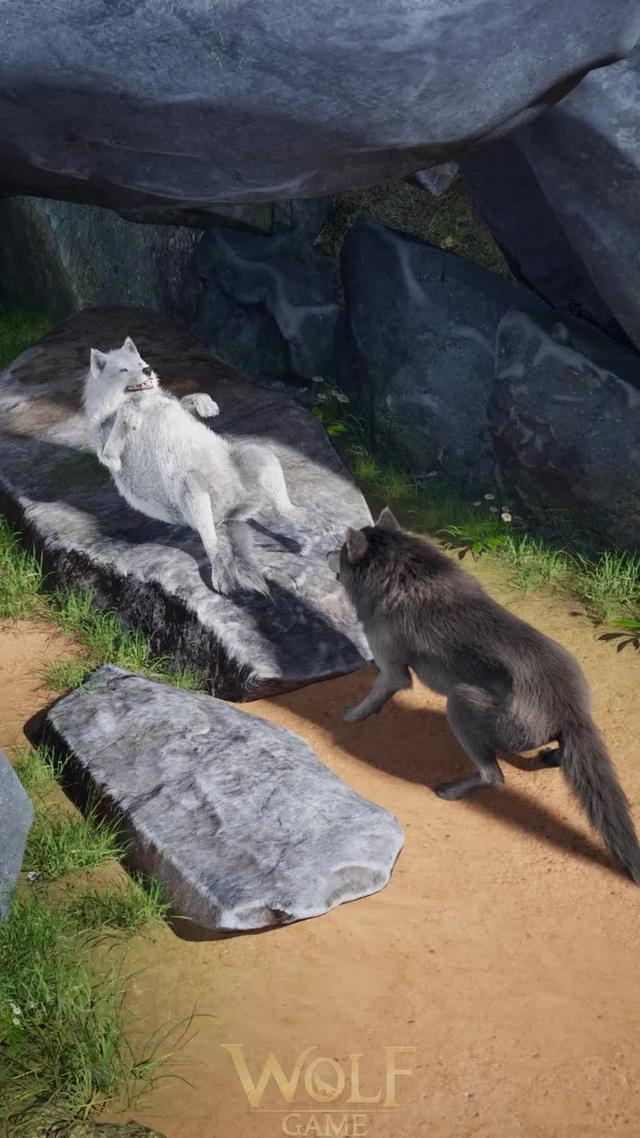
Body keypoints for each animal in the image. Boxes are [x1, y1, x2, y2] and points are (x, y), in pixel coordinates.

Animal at [84, 336, 294, 595]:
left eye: (140, 363)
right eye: (123, 370)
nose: (148, 370)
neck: (143, 403)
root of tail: (229, 516)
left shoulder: (173, 403)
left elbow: (187, 399)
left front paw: (207, 406)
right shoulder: (110, 456)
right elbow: (121, 423)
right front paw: (130, 415)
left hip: (260, 455)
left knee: (284, 508)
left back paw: (302, 526)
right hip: (191, 489)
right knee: (213, 547)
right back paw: (222, 579)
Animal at [328, 508, 640, 884]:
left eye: (341, 551)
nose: (324, 554)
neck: (402, 568)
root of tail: (570, 711)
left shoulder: (392, 668)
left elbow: (376, 692)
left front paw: (353, 714)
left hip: (462, 703)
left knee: (495, 776)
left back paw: (455, 790)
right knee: (558, 755)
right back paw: (553, 755)